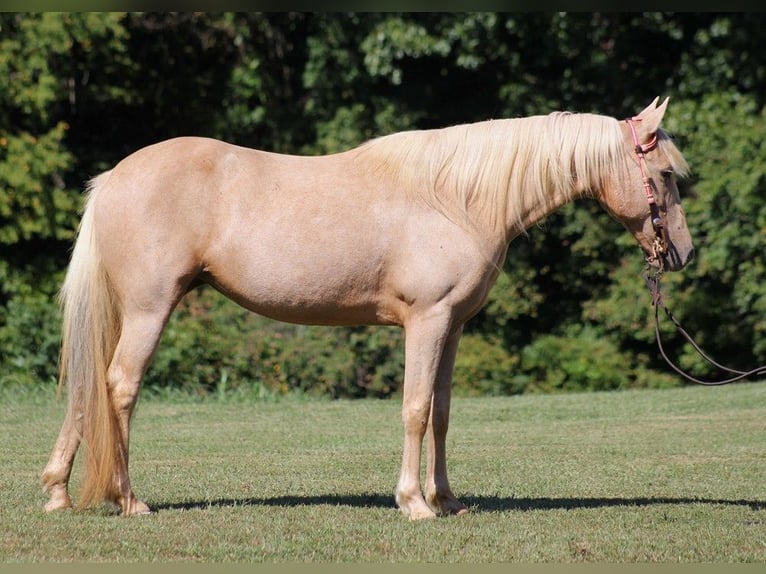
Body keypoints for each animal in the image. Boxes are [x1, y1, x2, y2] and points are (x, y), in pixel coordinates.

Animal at [45, 99, 700, 520]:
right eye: (666, 175)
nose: (684, 253)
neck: (458, 197)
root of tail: (112, 179)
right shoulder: (426, 321)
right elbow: (414, 408)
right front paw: (414, 503)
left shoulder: (453, 327)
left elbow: (441, 412)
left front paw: (447, 499)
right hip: (149, 311)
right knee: (119, 387)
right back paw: (128, 499)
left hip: (125, 313)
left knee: (87, 390)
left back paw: (57, 492)